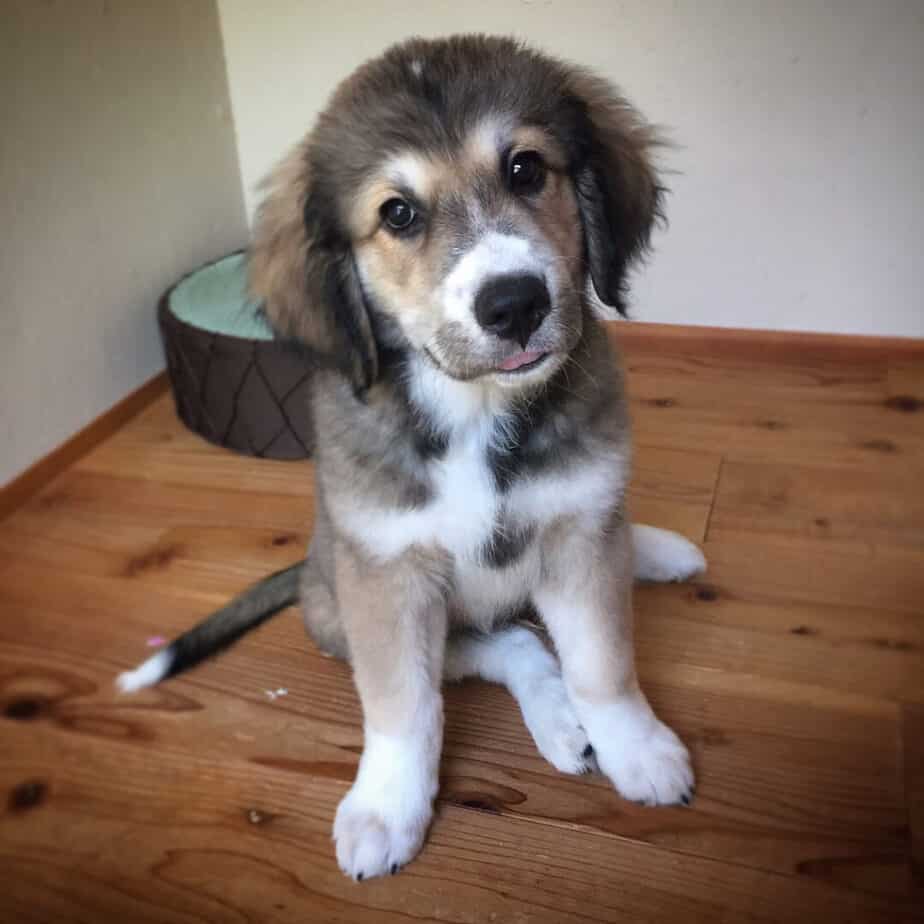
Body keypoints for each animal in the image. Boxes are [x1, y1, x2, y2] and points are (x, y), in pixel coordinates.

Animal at [119, 36, 704, 880]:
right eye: (398, 213)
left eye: (526, 168)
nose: (514, 303)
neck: (475, 415)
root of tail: (306, 569)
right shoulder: (388, 575)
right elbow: (404, 706)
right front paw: (387, 807)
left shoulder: (576, 533)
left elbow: (602, 664)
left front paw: (638, 748)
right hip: (341, 610)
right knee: (503, 643)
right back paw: (554, 714)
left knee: (585, 566)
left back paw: (650, 554)